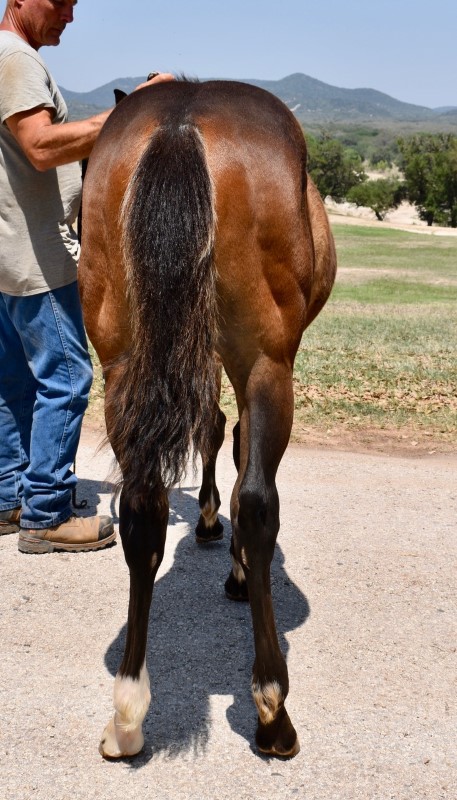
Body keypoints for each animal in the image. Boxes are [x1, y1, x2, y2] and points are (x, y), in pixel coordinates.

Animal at [77, 78, 334, 760]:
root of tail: (182, 117)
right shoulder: (253, 360)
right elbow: (237, 442)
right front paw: (231, 552)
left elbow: (212, 427)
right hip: (268, 362)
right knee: (259, 501)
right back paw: (272, 710)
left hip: (123, 365)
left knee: (142, 505)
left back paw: (128, 714)